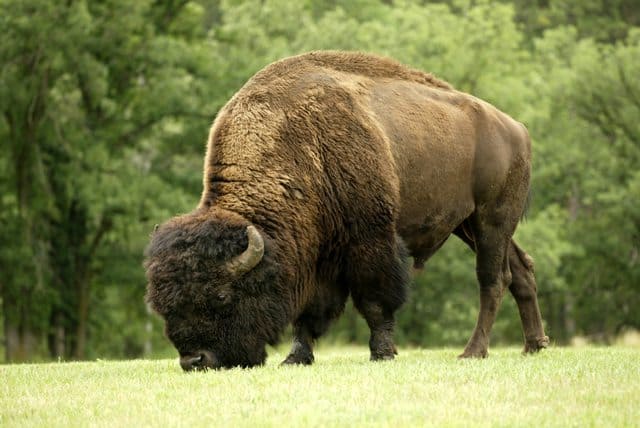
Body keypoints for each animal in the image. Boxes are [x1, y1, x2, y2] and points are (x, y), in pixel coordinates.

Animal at [145, 51, 552, 372]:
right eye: (163, 305)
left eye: (222, 297)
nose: (195, 360)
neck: (299, 145)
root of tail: (516, 128)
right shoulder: (317, 253)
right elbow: (310, 311)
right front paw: (296, 357)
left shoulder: (369, 240)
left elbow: (374, 301)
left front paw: (383, 353)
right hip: (469, 225)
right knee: (521, 269)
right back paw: (534, 345)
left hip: (491, 220)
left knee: (493, 279)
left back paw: (473, 352)